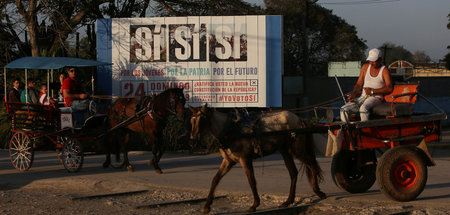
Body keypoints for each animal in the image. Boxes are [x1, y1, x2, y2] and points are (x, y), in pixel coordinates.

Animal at [190, 104, 326, 213]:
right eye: (191, 120)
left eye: (202, 119)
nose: (192, 141)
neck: (230, 129)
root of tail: (299, 119)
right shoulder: (228, 161)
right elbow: (215, 179)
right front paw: (207, 206)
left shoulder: (245, 159)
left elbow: (252, 181)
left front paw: (254, 205)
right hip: (285, 151)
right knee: (293, 173)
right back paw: (288, 201)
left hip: (297, 151)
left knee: (313, 166)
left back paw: (318, 192)